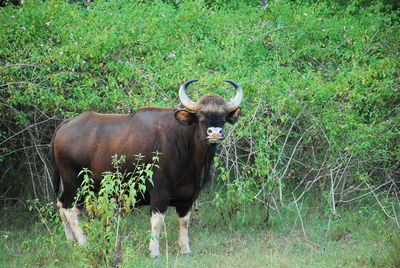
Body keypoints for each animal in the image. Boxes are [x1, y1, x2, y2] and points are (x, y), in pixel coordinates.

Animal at [51, 80, 242, 258]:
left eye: (223, 116)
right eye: (201, 116)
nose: (215, 133)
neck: (186, 147)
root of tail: (66, 124)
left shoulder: (189, 195)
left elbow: (184, 222)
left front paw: (185, 249)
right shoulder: (159, 191)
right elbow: (157, 222)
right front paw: (154, 252)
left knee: (60, 204)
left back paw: (70, 241)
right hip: (74, 182)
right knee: (70, 208)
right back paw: (84, 243)